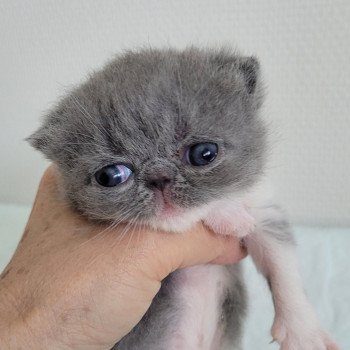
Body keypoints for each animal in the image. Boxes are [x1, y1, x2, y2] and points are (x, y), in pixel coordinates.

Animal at [28, 47, 338, 350]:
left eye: (204, 153)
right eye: (111, 175)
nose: (159, 178)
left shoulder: (263, 209)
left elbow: (282, 265)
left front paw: (303, 334)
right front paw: (229, 215)